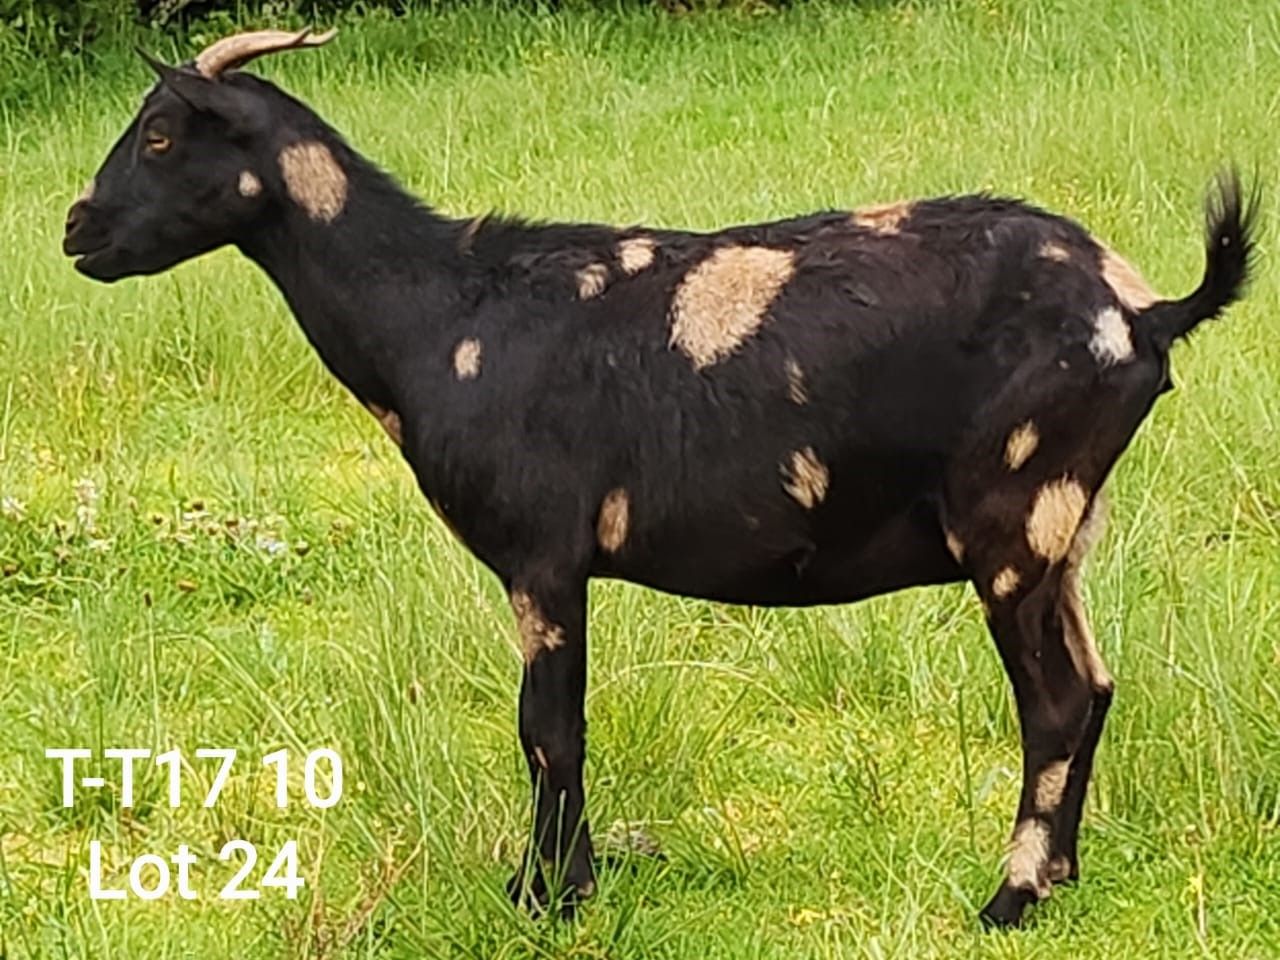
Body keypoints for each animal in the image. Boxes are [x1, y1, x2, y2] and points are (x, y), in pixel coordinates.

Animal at [63, 29, 1258, 928]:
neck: (448, 311)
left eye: (160, 133)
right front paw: (548, 883)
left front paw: (550, 899)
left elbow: (547, 727)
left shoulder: (543, 556)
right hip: (1064, 532)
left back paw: (1006, 899)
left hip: (1012, 518)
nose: (77, 230)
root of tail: (1142, 313)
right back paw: (1060, 878)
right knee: (1094, 686)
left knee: (1053, 702)